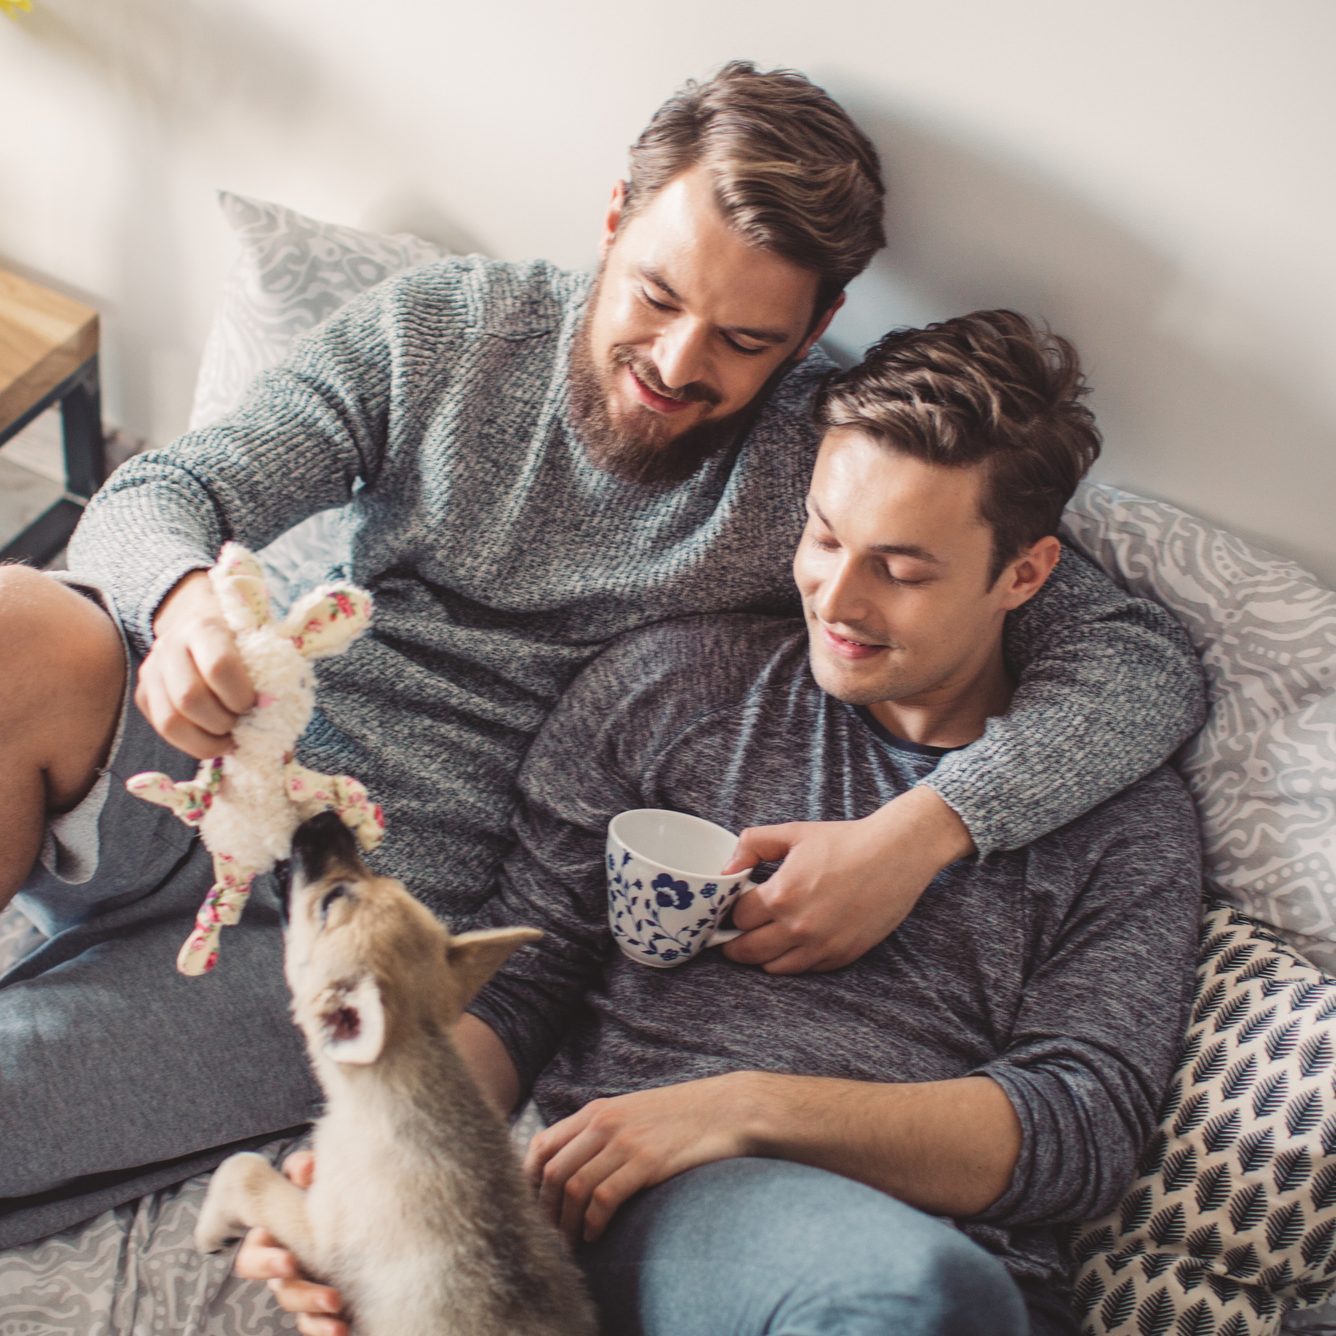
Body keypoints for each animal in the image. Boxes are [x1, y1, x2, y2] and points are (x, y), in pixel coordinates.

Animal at [193, 806, 595, 1330]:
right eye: (385, 877)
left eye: (330, 904)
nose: (325, 818)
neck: (412, 1065)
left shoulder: (318, 1232)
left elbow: (242, 1167)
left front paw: (210, 1227)